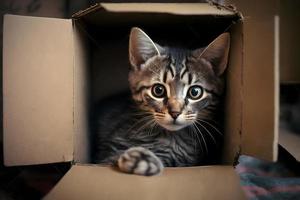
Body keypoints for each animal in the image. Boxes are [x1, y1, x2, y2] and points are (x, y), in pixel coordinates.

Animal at [92, 27, 231, 176]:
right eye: (158, 90)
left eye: (195, 92)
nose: (175, 112)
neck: (171, 138)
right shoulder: (109, 151)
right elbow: (113, 157)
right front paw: (141, 159)